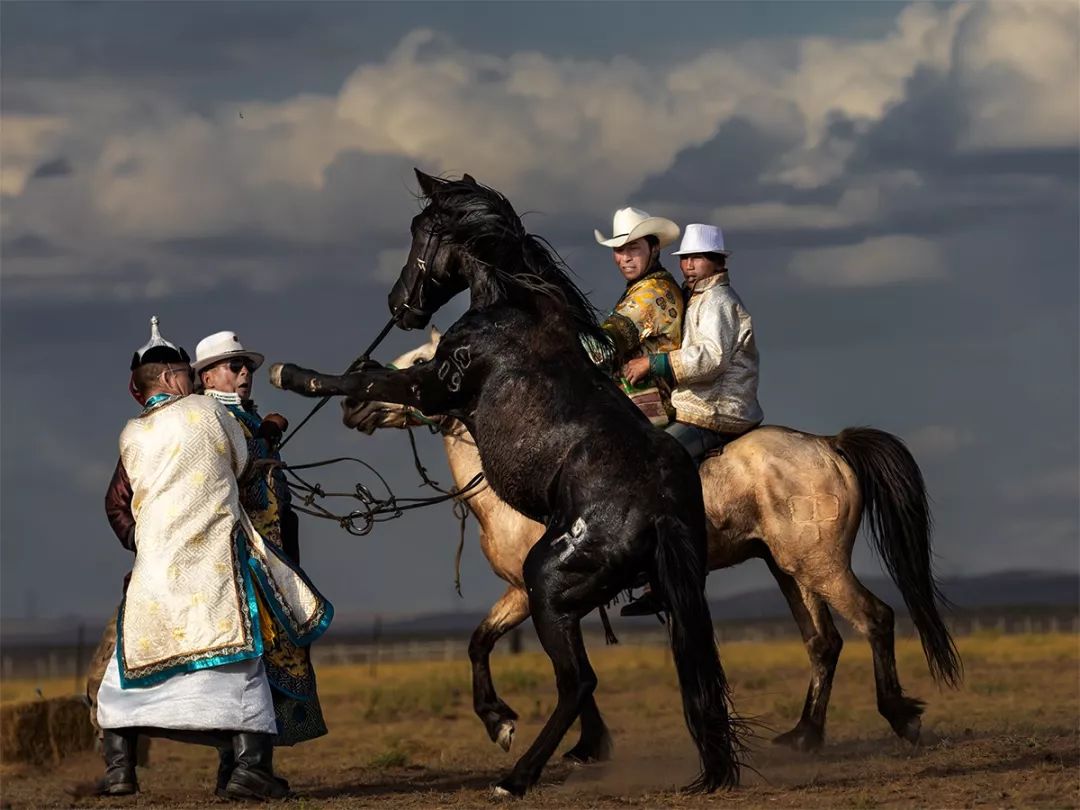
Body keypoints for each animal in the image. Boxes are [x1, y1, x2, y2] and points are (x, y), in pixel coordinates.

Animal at [270, 171, 743, 799]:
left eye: (420, 230)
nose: (398, 305)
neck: (513, 310)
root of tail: (660, 508)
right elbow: (477, 641)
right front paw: (499, 720)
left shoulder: (435, 387)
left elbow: (362, 378)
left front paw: (294, 375)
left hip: (549, 586)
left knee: (578, 683)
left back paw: (516, 778)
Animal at [345, 328, 963, 756]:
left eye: (420, 362)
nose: (355, 402)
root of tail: (828, 445)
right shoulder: (539, 596)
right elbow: (500, 650)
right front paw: (554, 737)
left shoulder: (533, 592)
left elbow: (514, 653)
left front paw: (530, 731)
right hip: (789, 568)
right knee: (823, 643)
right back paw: (804, 735)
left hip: (821, 565)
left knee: (875, 619)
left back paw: (900, 716)